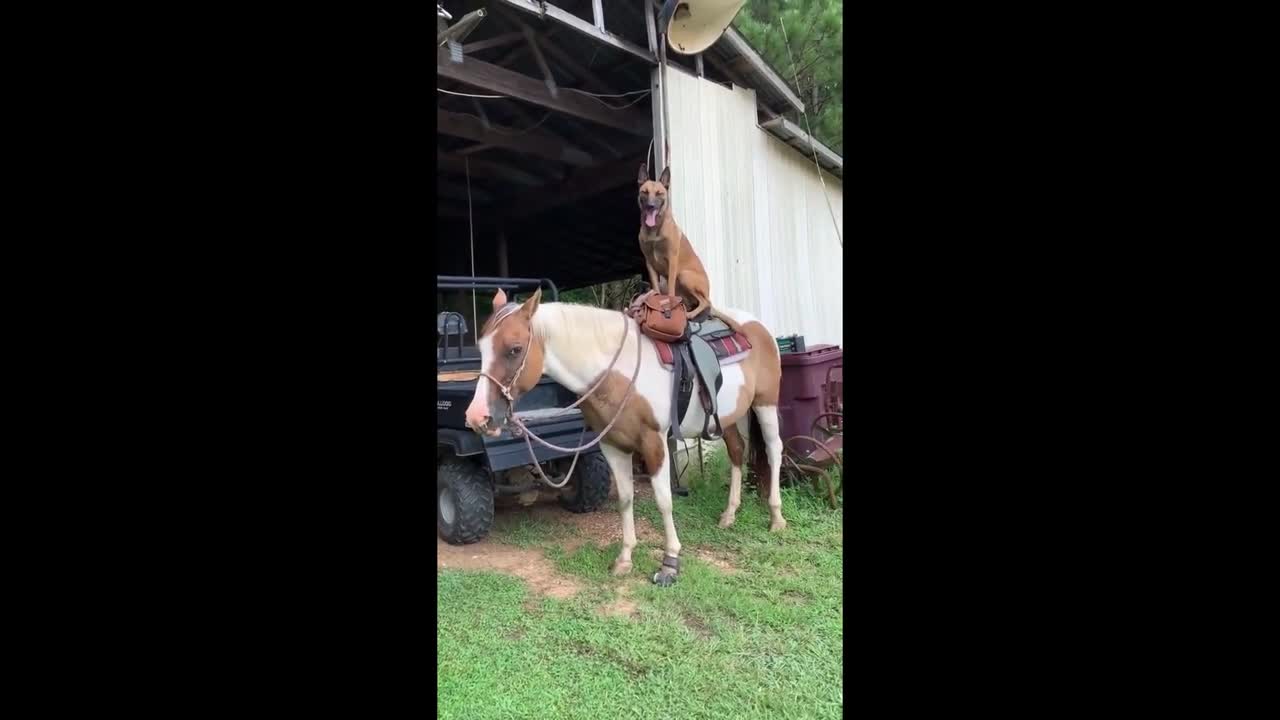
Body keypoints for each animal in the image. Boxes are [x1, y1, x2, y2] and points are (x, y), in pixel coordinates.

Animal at [465, 288, 783, 586]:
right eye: (480, 348)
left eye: (514, 349)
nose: (477, 417)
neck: (619, 372)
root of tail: (756, 325)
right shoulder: (613, 447)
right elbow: (625, 498)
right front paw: (625, 558)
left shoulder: (654, 443)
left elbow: (664, 500)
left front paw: (670, 563)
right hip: (727, 416)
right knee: (737, 452)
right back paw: (729, 515)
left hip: (765, 404)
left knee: (773, 450)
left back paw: (776, 518)